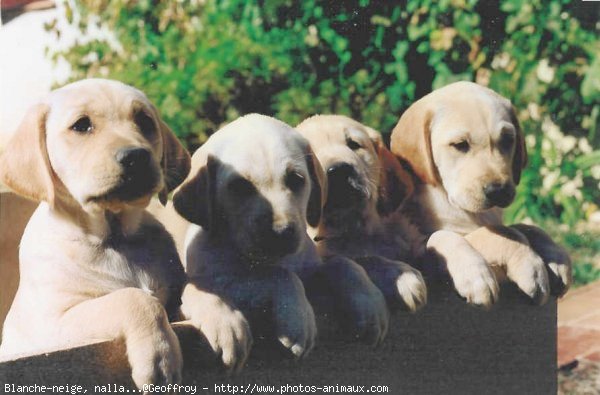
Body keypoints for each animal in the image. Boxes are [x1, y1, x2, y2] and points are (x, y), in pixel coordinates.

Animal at [0, 79, 251, 392]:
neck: (116, 238)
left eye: (144, 121)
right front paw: (160, 355)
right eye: (81, 125)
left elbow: (194, 285)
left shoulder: (172, 297)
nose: (136, 156)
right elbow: (134, 298)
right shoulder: (55, 324)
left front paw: (225, 319)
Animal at [173, 113, 390, 356]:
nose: (281, 233)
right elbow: (279, 274)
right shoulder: (221, 278)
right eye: (239, 186)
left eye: (296, 179)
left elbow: (342, 262)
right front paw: (298, 321)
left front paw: (370, 305)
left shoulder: (310, 267)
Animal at [392, 81, 568, 310]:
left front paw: (556, 258)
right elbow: (497, 233)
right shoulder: (419, 248)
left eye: (507, 140)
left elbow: (526, 227)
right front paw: (481, 276)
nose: (498, 191)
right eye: (460, 145)